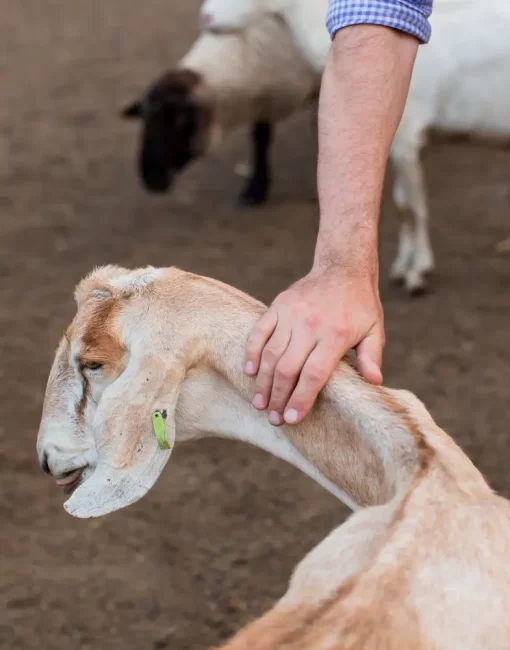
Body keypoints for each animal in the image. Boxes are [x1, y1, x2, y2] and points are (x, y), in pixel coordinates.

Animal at [201, 0, 510, 292]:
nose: (206, 17)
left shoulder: (408, 136)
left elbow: (413, 208)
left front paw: (417, 274)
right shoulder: (404, 144)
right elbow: (402, 203)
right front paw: (402, 267)